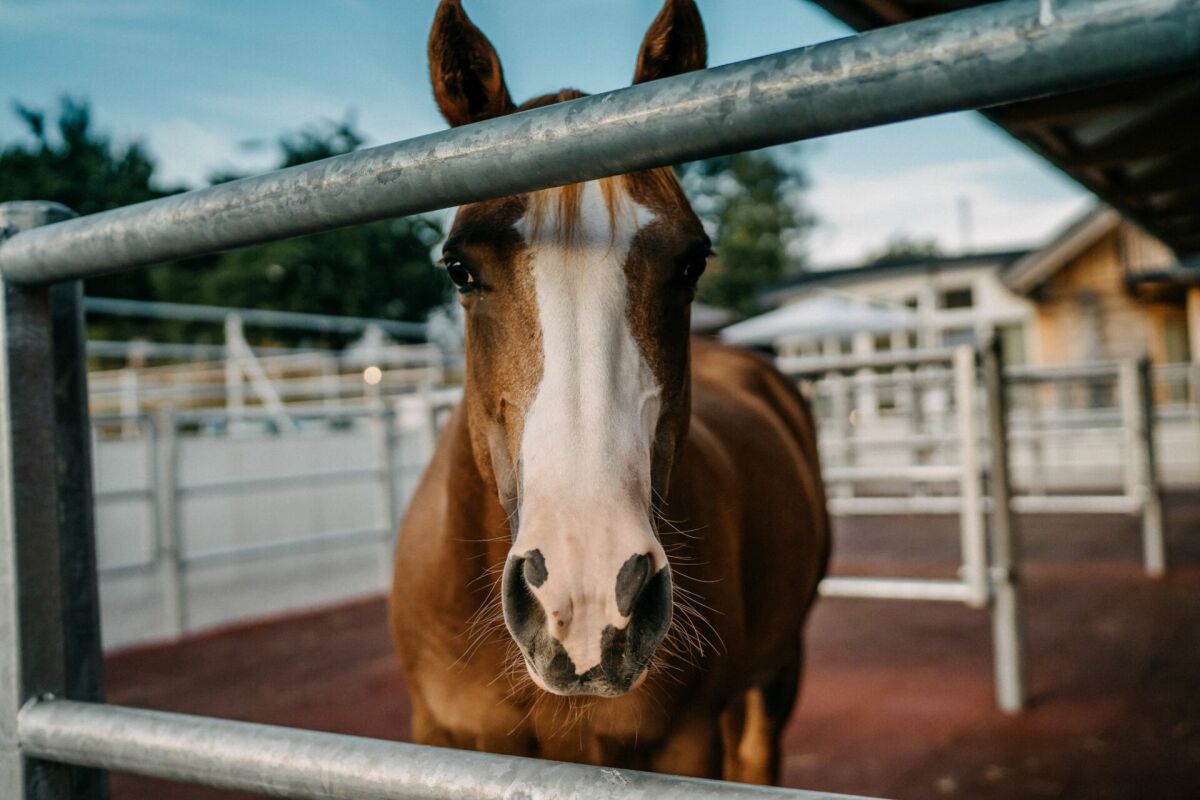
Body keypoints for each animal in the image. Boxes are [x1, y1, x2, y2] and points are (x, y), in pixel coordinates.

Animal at [390, 0, 830, 783]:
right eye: (459, 268)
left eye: (692, 262)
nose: (588, 597)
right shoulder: (434, 734)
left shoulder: (687, 745)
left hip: (779, 669)